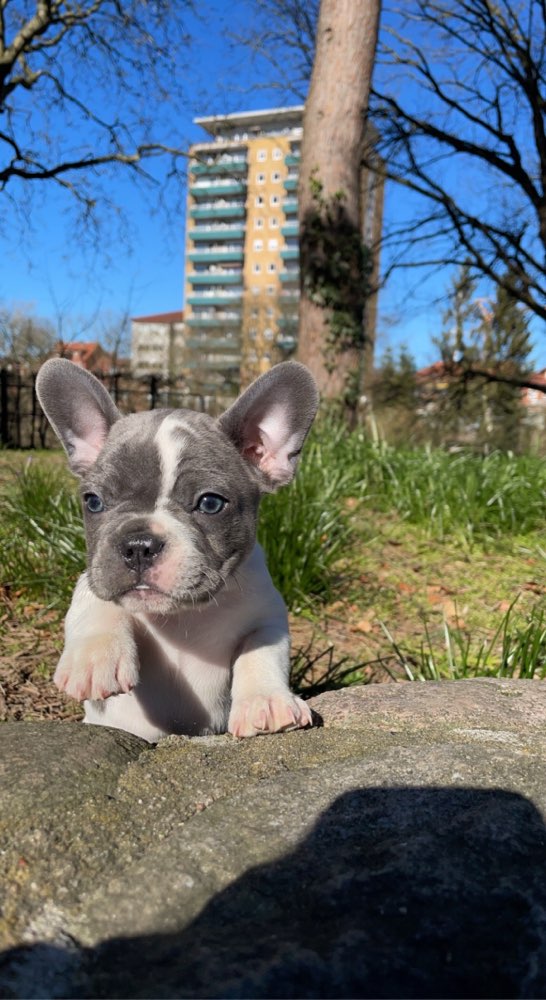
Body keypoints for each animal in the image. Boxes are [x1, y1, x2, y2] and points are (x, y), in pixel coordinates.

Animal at [36, 362, 316, 744]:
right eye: (93, 501)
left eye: (210, 503)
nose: (139, 545)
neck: (183, 616)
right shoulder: (96, 574)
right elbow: (93, 598)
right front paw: (94, 657)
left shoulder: (268, 615)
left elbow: (261, 649)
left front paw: (266, 700)